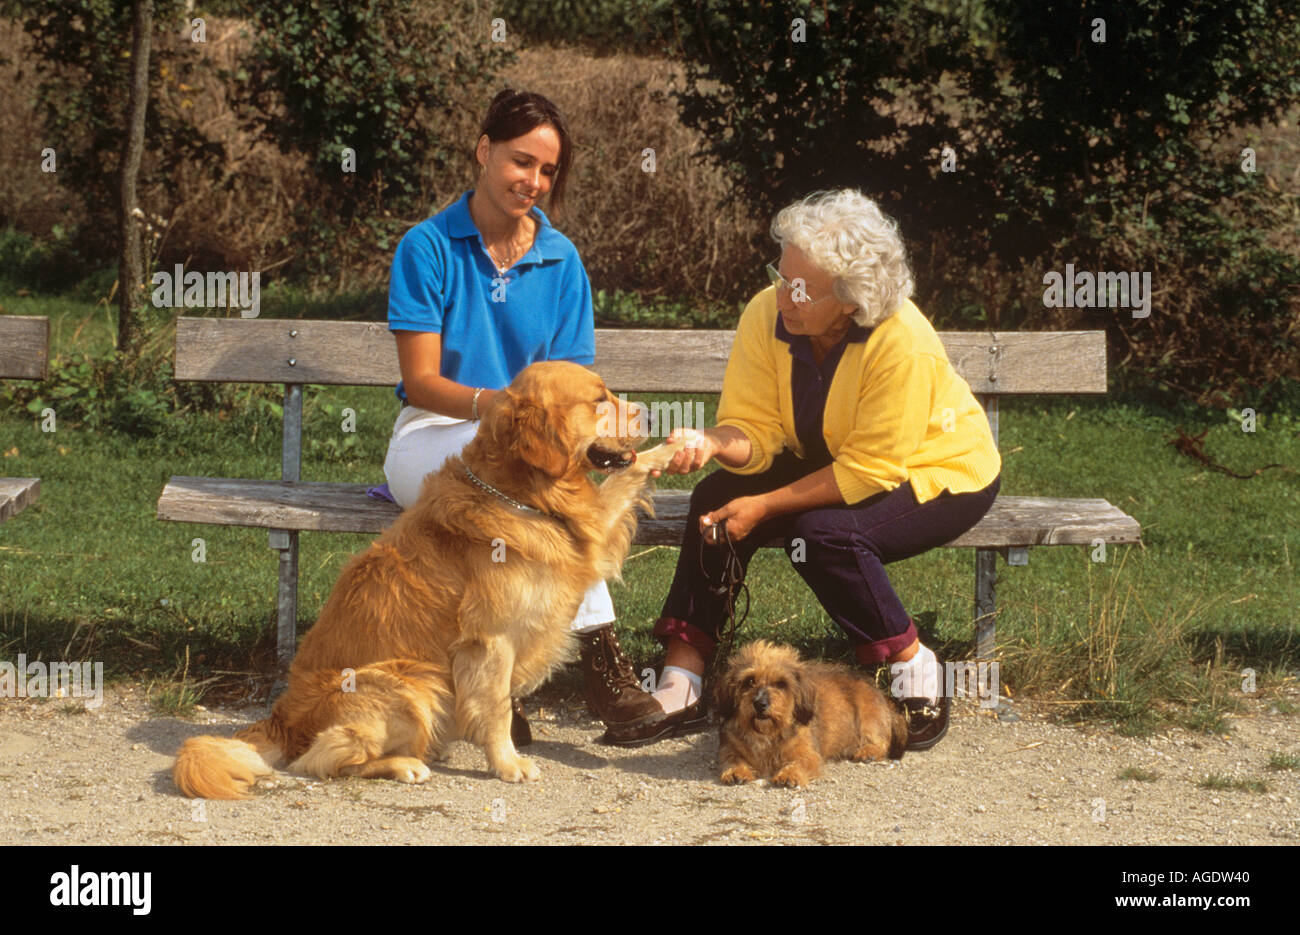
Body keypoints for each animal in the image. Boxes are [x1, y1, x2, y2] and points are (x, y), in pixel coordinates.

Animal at [172, 361, 681, 801]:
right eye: (598, 399)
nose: (657, 412)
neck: (521, 494)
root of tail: (280, 718)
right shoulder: (490, 639)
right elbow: (496, 706)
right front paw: (508, 763)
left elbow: (630, 473)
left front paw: (676, 447)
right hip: (409, 683)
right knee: (323, 760)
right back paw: (404, 765)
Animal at [712, 639, 904, 785]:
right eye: (749, 681)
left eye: (781, 683)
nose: (760, 704)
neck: (768, 734)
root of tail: (880, 691)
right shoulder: (728, 748)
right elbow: (732, 757)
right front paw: (736, 771)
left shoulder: (808, 754)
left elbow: (800, 762)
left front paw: (789, 774)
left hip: (868, 718)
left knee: (881, 741)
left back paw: (868, 751)